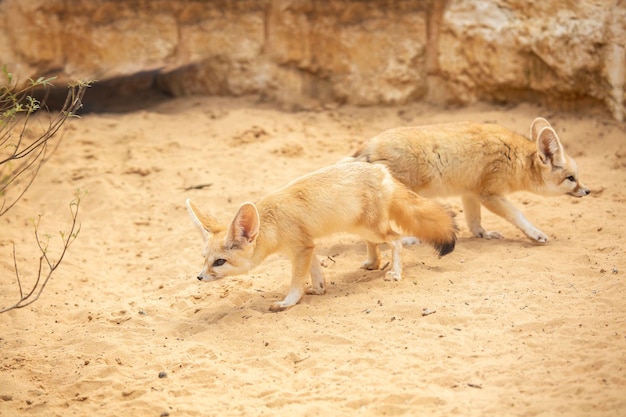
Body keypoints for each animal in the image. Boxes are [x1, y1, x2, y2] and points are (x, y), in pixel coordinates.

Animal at [185, 161, 454, 310]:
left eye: (219, 262)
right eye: (204, 259)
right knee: (378, 245)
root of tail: (382, 172)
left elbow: (296, 281)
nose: (199, 277)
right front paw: (317, 289)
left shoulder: (301, 249)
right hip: (361, 229)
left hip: (371, 229)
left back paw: (396, 272)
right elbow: (315, 272)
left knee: (396, 240)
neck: (272, 221)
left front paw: (288, 302)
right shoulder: (306, 246)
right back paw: (372, 262)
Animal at [354, 117, 588, 242]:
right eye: (571, 178)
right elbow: (517, 214)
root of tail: (368, 145)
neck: (517, 158)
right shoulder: (489, 194)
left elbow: (474, 221)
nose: (587, 191)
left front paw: (483, 234)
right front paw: (534, 233)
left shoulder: (470, 192)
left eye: (577, 177)